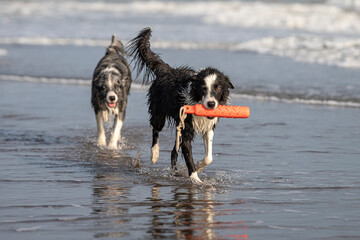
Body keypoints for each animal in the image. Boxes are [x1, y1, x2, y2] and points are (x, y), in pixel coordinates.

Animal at [128, 27, 235, 182]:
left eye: (218, 87)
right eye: (203, 88)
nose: (211, 104)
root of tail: (167, 70)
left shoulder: (208, 127)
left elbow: (209, 157)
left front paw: (199, 167)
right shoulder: (186, 130)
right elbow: (188, 156)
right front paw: (195, 179)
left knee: (173, 151)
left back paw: (174, 171)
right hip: (159, 113)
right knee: (155, 129)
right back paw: (155, 154)